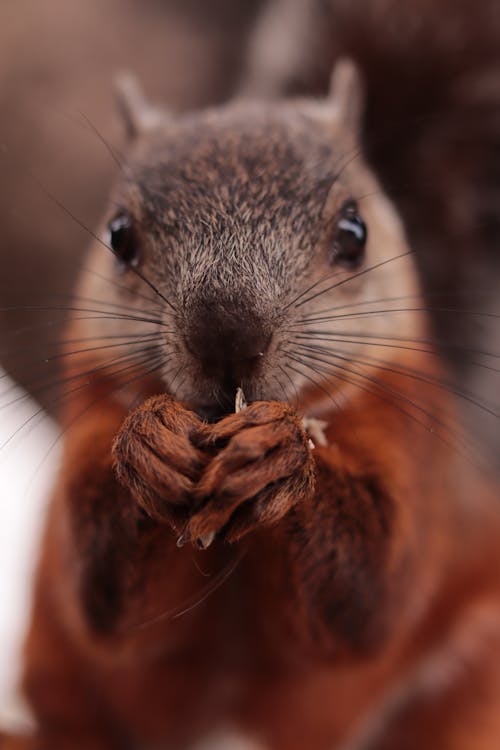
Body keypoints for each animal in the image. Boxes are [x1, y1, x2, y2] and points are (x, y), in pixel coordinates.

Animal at [0, 5, 500, 750]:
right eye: (118, 236)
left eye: (354, 232)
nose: (228, 338)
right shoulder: (88, 402)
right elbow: (101, 591)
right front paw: (149, 442)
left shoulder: (415, 440)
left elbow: (365, 598)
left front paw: (279, 455)